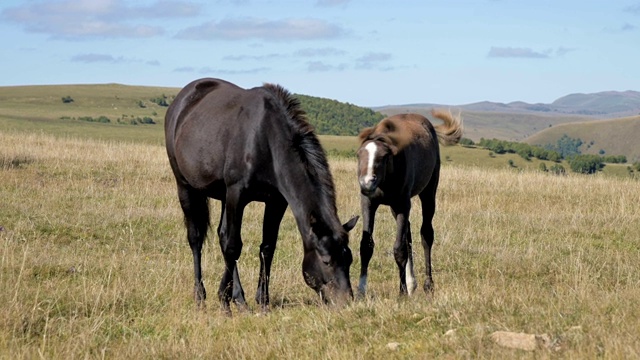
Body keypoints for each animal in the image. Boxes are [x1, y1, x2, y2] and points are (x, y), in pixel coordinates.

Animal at [165, 78, 360, 312]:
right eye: (326, 261)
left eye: (349, 259)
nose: (346, 302)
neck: (265, 139)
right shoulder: (237, 194)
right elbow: (233, 247)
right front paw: (224, 300)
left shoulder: (276, 201)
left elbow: (267, 247)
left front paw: (262, 301)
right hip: (185, 186)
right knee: (196, 239)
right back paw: (201, 296)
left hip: (222, 196)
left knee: (221, 235)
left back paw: (239, 299)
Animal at [358, 111, 462, 296]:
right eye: (359, 155)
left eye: (383, 157)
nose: (366, 183)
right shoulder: (369, 203)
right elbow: (366, 246)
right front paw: (361, 291)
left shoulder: (402, 205)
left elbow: (399, 249)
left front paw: (402, 292)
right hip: (394, 207)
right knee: (409, 235)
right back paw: (412, 282)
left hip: (428, 193)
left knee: (426, 234)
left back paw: (427, 285)